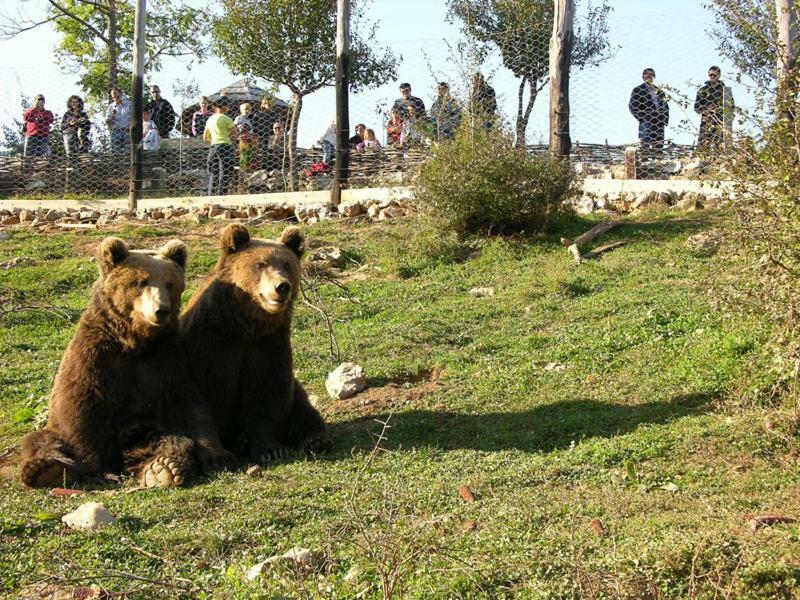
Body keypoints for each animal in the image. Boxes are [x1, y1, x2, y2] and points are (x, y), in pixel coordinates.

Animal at [18, 236, 233, 488]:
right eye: (140, 282)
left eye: (169, 283)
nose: (161, 310)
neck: (134, 341)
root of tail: (126, 456)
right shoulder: (95, 357)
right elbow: (78, 407)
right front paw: (97, 470)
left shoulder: (165, 363)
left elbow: (191, 408)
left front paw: (217, 456)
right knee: (42, 440)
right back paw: (45, 468)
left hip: (145, 430)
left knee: (173, 440)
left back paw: (163, 467)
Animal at [182, 223, 332, 462]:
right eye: (260, 264)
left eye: (287, 264)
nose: (282, 287)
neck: (245, 326)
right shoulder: (210, 345)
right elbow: (201, 401)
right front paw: (217, 456)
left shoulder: (268, 344)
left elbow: (268, 393)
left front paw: (270, 449)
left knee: (302, 405)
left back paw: (315, 439)